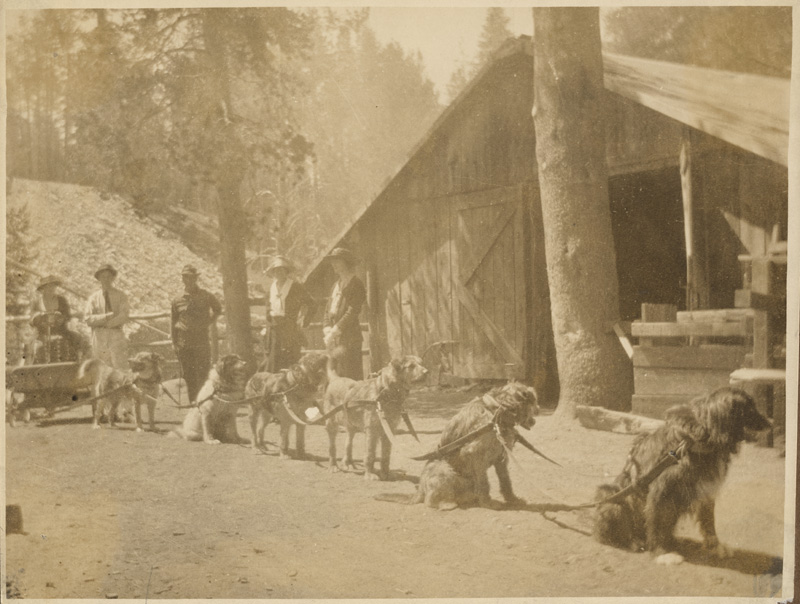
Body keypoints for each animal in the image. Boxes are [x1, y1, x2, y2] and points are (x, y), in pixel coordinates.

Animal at [322, 354, 428, 482]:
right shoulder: (371, 430)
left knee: (348, 443)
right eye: (411, 366)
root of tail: (336, 379)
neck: (386, 392)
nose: (426, 372)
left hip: (351, 425)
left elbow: (386, 454)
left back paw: (347, 463)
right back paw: (333, 466)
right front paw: (369, 474)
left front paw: (385, 473)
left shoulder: (389, 430)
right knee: (332, 447)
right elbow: (370, 453)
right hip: (331, 424)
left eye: (421, 363)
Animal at [412, 382, 536, 510]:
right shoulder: (475, 453)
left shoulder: (501, 458)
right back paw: (447, 504)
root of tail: (419, 489)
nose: (533, 421)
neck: (495, 411)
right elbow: (484, 482)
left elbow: (505, 480)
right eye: (530, 404)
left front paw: (512, 499)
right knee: (429, 500)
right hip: (444, 469)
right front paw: (487, 502)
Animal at [592, 390, 768, 564]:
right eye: (749, 409)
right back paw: (635, 542)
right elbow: (655, 522)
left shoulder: (706, 489)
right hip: (610, 498)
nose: (769, 424)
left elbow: (709, 521)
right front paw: (661, 552)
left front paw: (715, 546)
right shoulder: (660, 492)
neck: (696, 439)